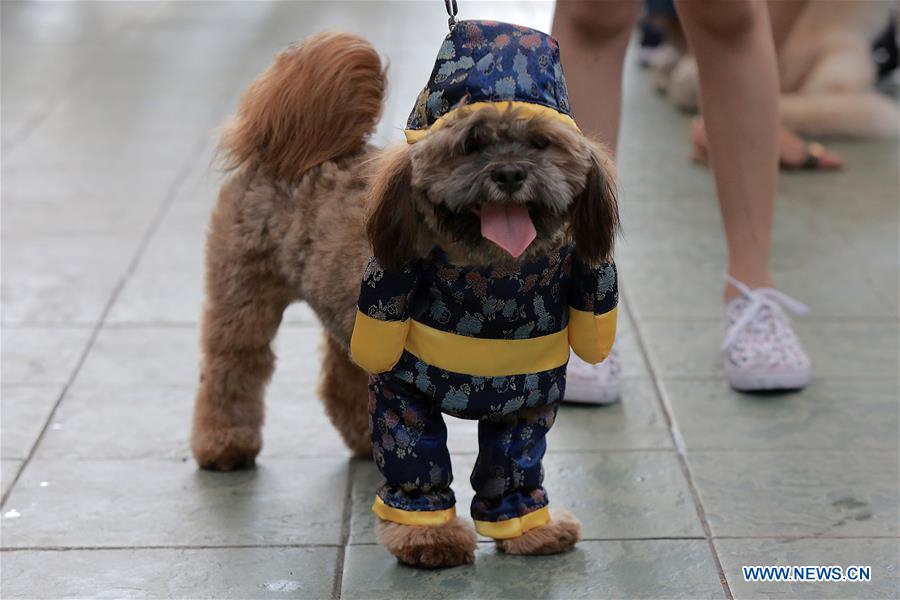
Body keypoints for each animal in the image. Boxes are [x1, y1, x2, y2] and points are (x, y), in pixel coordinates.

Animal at [192, 24, 620, 568]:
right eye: (470, 144)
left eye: (541, 142)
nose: (508, 173)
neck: (492, 291)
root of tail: (293, 148)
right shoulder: (403, 389)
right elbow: (418, 459)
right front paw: (427, 538)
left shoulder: (527, 395)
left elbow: (516, 466)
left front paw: (529, 529)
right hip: (245, 293)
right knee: (234, 366)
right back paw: (223, 442)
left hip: (350, 312)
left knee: (340, 378)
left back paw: (359, 437)